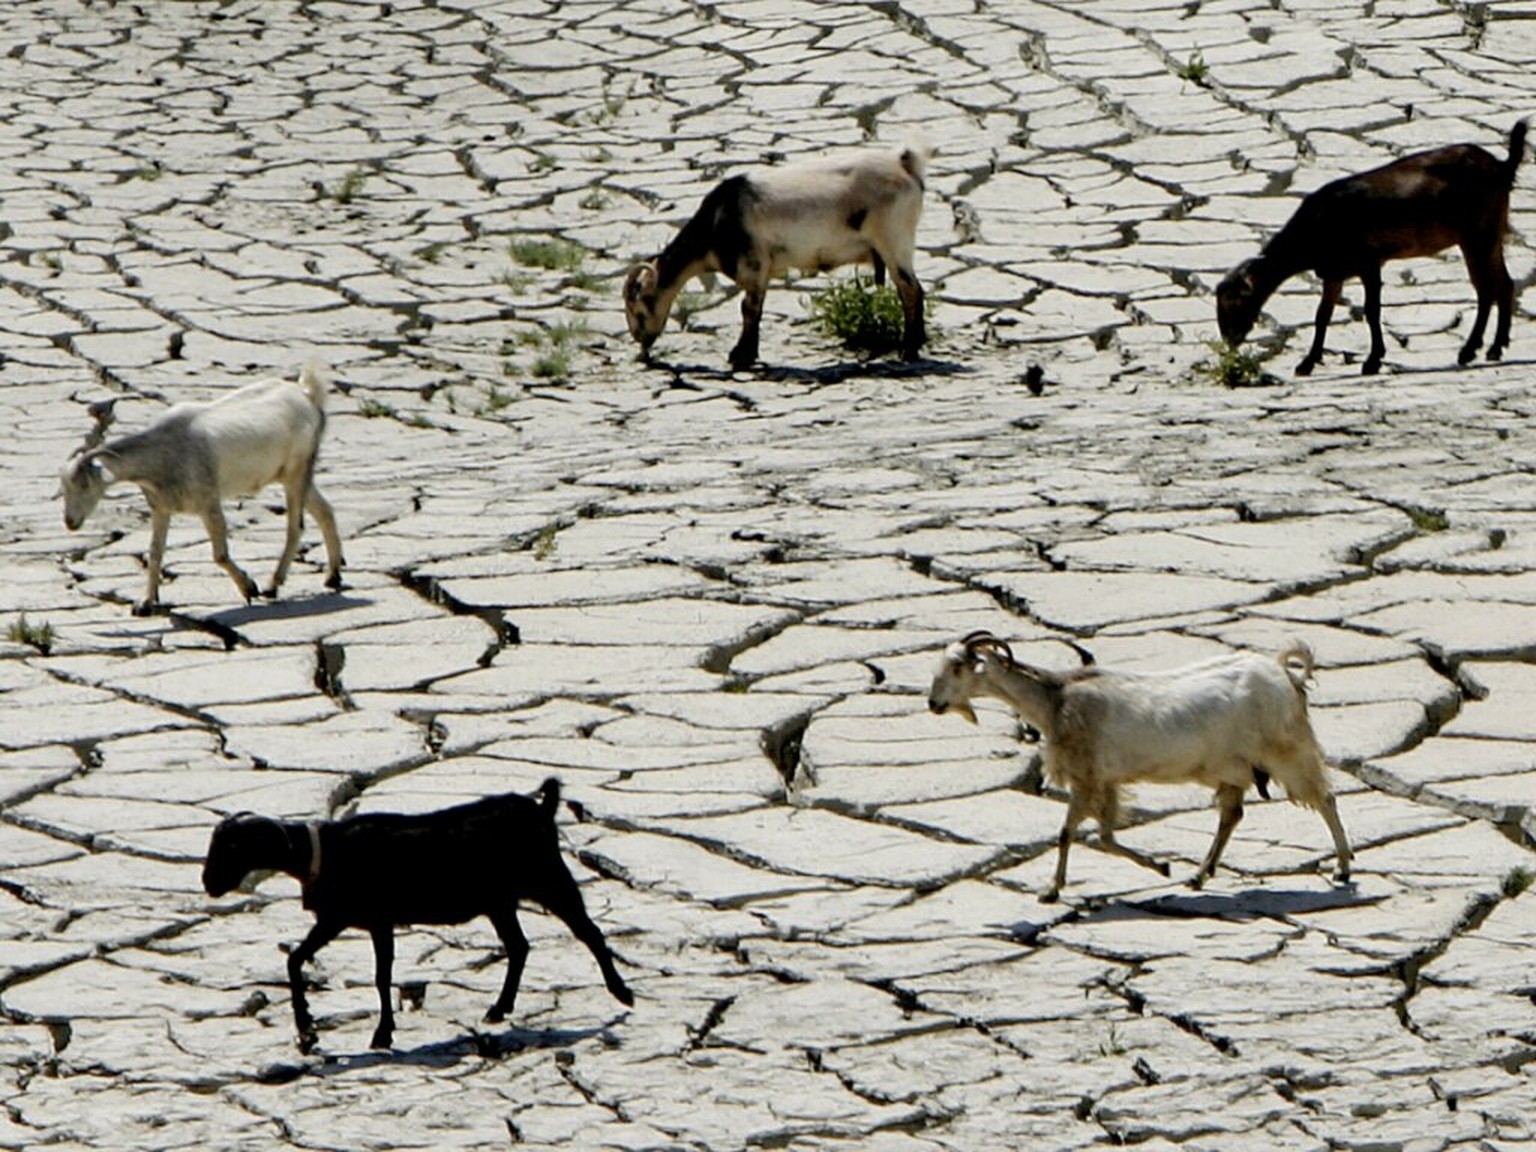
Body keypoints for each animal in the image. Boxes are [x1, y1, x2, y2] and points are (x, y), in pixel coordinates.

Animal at [60, 365, 345, 617]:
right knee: (325, 511)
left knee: (295, 526)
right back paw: (333, 576)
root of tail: (308, 394)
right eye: (63, 486)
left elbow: (219, 554)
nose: (70, 522)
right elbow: (155, 552)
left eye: (85, 484)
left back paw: (272, 585)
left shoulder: (209, 503)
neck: (164, 450)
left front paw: (249, 588)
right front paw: (145, 603)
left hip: (297, 471)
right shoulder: (161, 508)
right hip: (291, 475)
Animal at [205, 780, 635, 1062]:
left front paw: (380, 1034)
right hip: (500, 902)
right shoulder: (339, 918)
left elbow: (381, 976)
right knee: (519, 946)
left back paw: (622, 993)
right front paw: (307, 1031)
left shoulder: (373, 919)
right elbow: (296, 959)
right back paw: (499, 1009)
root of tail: (543, 808)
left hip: (548, 879)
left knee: (587, 931)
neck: (322, 850)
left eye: (231, 846)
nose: (208, 883)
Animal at [620, 145, 927, 370]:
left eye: (639, 307)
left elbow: (748, 309)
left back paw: (908, 351)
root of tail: (905, 164)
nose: (640, 341)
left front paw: (741, 356)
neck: (717, 222)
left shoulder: (754, 266)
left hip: (893, 239)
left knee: (910, 289)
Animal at [921, 635, 1345, 909]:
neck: (1057, 702)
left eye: (958, 667)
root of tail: (1286, 674)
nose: (934, 703)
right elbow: (1105, 838)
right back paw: (1199, 874)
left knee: (1325, 798)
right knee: (1231, 815)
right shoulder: (1106, 781)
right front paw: (1161, 865)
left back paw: (1343, 867)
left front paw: (1051, 890)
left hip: (1287, 750)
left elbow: (1068, 834)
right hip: (1234, 767)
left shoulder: (1087, 777)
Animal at [1216, 119, 1529, 376]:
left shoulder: (1368, 261)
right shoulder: (1333, 271)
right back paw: (1495, 348)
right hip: (1490, 233)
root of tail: (1502, 166)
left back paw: (1469, 350)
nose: (1229, 341)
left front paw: (1372, 360)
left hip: (1477, 234)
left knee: (1486, 288)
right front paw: (1307, 363)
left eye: (1235, 301)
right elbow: (1322, 315)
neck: (1315, 227)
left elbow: (1371, 310)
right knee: (1504, 283)